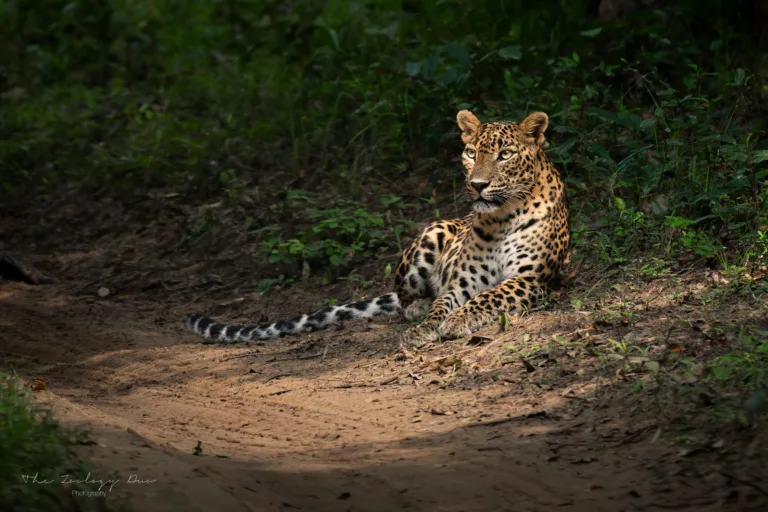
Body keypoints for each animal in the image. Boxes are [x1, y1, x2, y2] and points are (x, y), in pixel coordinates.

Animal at [185, 109, 570, 345]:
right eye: (471, 153)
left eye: (505, 155)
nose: (477, 185)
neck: (502, 216)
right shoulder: (463, 281)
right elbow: (444, 302)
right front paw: (429, 325)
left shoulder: (529, 279)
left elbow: (489, 297)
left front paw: (458, 320)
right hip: (430, 235)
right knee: (404, 298)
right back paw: (416, 308)